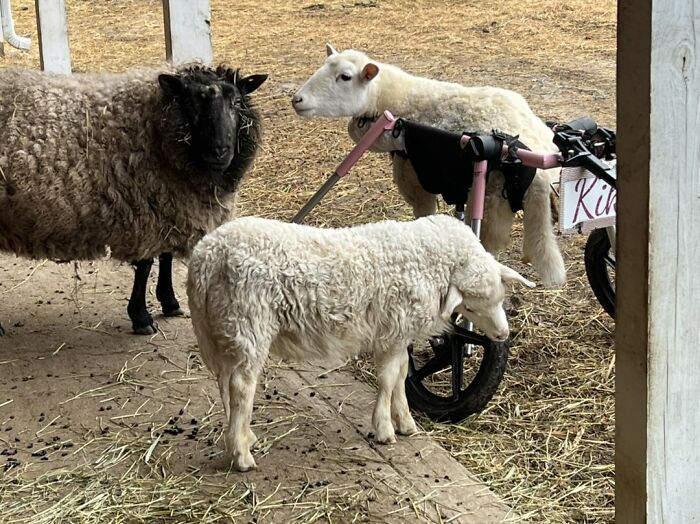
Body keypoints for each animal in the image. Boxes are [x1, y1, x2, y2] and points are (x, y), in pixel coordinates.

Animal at [0, 64, 267, 336]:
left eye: (236, 101)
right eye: (191, 104)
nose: (220, 151)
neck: (154, 131)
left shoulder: (166, 208)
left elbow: (166, 257)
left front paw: (169, 302)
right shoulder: (142, 210)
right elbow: (145, 266)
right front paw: (141, 317)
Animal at [186, 214, 534, 471]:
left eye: (499, 297)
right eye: (471, 307)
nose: (502, 335)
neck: (425, 261)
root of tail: (205, 256)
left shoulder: (399, 333)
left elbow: (401, 375)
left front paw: (405, 421)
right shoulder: (395, 327)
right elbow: (388, 378)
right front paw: (384, 429)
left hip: (226, 329)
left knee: (227, 384)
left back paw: (243, 438)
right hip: (249, 322)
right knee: (242, 386)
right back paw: (242, 456)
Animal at [291, 44, 566, 287]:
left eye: (345, 77)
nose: (297, 99)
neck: (396, 99)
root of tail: (539, 172)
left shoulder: (412, 173)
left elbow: (424, 213)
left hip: (493, 199)